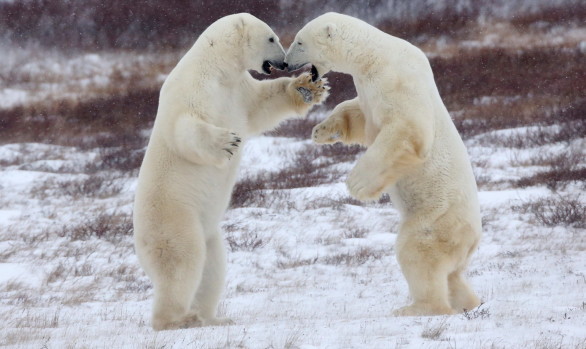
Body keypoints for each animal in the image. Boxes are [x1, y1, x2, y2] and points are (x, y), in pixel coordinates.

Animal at [133, 12, 328, 328]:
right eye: (272, 38)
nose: (284, 63)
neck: (216, 70)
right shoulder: (193, 91)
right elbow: (184, 129)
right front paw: (227, 142)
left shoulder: (239, 91)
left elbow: (263, 105)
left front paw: (308, 87)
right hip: (174, 219)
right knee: (182, 262)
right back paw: (180, 319)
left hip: (209, 233)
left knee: (211, 268)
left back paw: (213, 318)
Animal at [282, 12, 480, 316]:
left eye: (299, 41)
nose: (283, 62)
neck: (374, 56)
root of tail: (473, 240)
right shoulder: (367, 90)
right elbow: (358, 116)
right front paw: (322, 131)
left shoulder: (396, 81)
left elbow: (407, 129)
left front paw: (356, 183)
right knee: (453, 274)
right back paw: (467, 302)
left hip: (436, 218)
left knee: (417, 251)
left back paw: (417, 308)